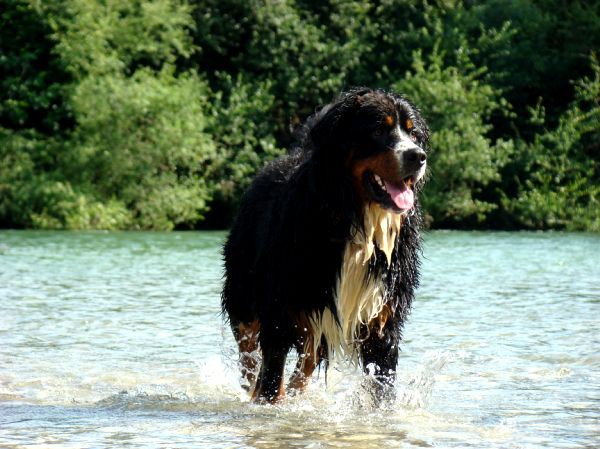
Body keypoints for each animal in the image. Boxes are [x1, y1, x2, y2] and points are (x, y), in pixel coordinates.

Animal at [223, 86, 428, 402]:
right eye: (378, 129)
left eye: (414, 133)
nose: (418, 157)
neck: (357, 222)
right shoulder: (279, 313)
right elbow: (270, 382)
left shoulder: (382, 321)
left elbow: (381, 391)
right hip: (245, 293)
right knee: (249, 356)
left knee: (304, 365)